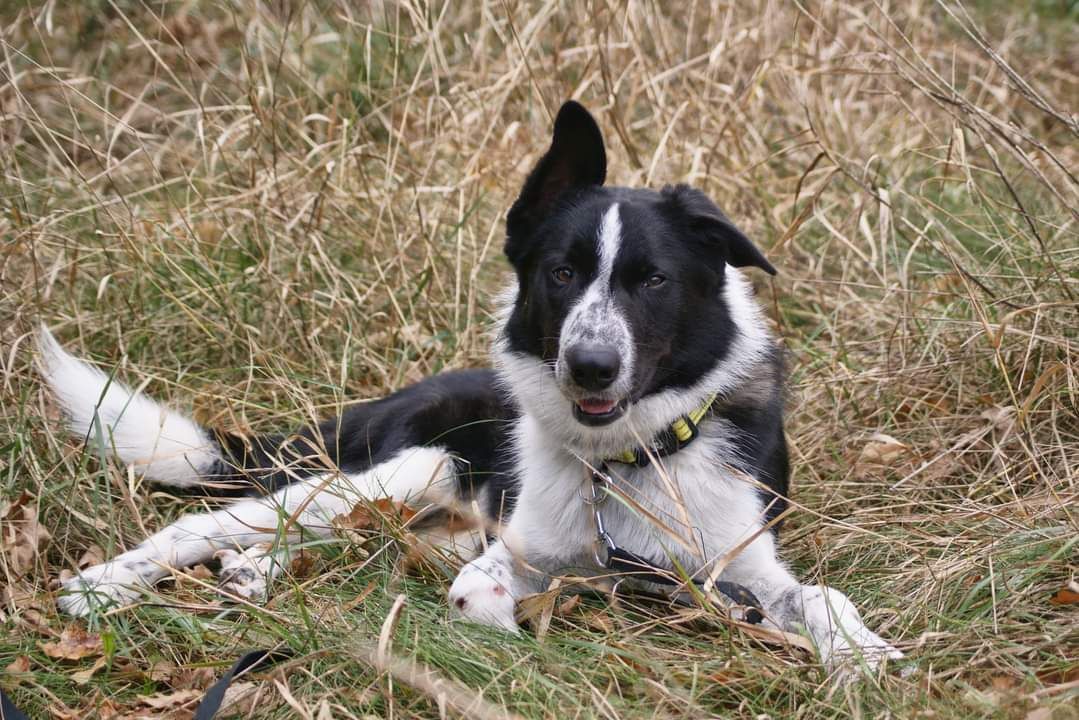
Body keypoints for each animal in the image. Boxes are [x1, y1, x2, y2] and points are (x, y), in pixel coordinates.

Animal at [42, 102, 902, 677]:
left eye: (652, 280)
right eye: (561, 273)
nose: (589, 367)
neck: (625, 461)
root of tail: (396, 396)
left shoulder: (747, 569)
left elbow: (819, 597)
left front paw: (860, 654)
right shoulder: (517, 552)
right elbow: (482, 597)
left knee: (312, 536)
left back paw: (253, 572)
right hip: (407, 466)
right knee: (211, 523)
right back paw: (103, 587)